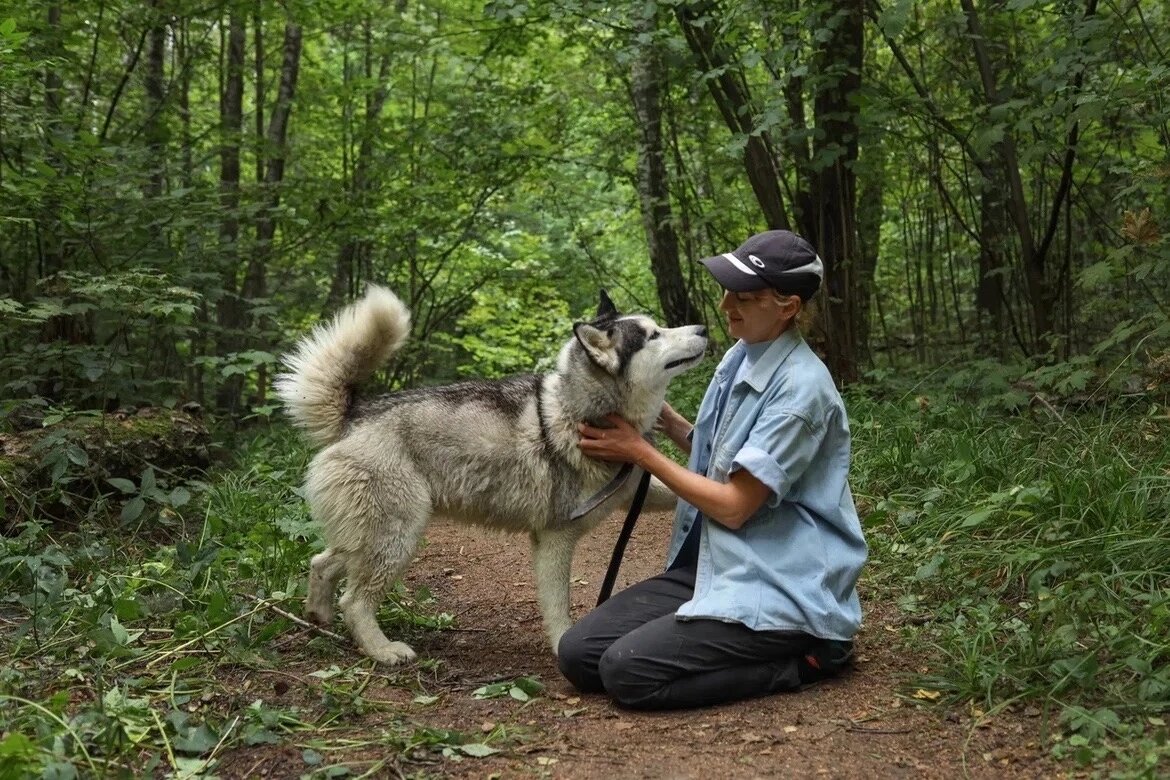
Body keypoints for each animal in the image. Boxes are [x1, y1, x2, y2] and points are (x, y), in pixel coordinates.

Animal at [276, 286, 702, 664]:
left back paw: (318, 615)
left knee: (322, 563)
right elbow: (558, 607)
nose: (702, 328)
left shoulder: (635, 494)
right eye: (653, 335)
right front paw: (562, 644)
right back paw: (382, 651)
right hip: (398, 538)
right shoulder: (555, 539)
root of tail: (357, 414)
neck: (579, 413)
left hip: (374, 536)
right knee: (354, 600)